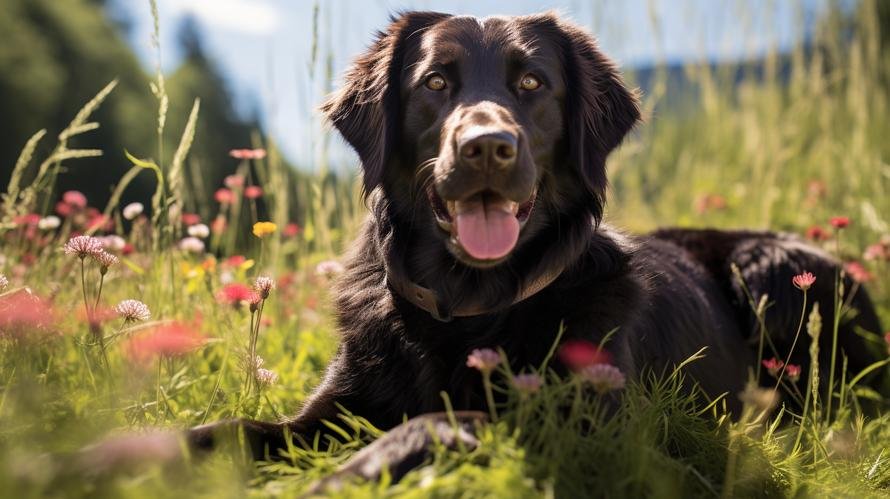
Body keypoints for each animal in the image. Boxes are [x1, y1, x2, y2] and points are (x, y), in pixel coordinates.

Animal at [111, 10, 880, 488]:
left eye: (533, 83)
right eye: (436, 82)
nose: (487, 146)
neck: (470, 308)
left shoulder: (589, 428)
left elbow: (441, 422)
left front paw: (339, 479)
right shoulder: (328, 409)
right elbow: (225, 428)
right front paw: (106, 455)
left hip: (777, 275)